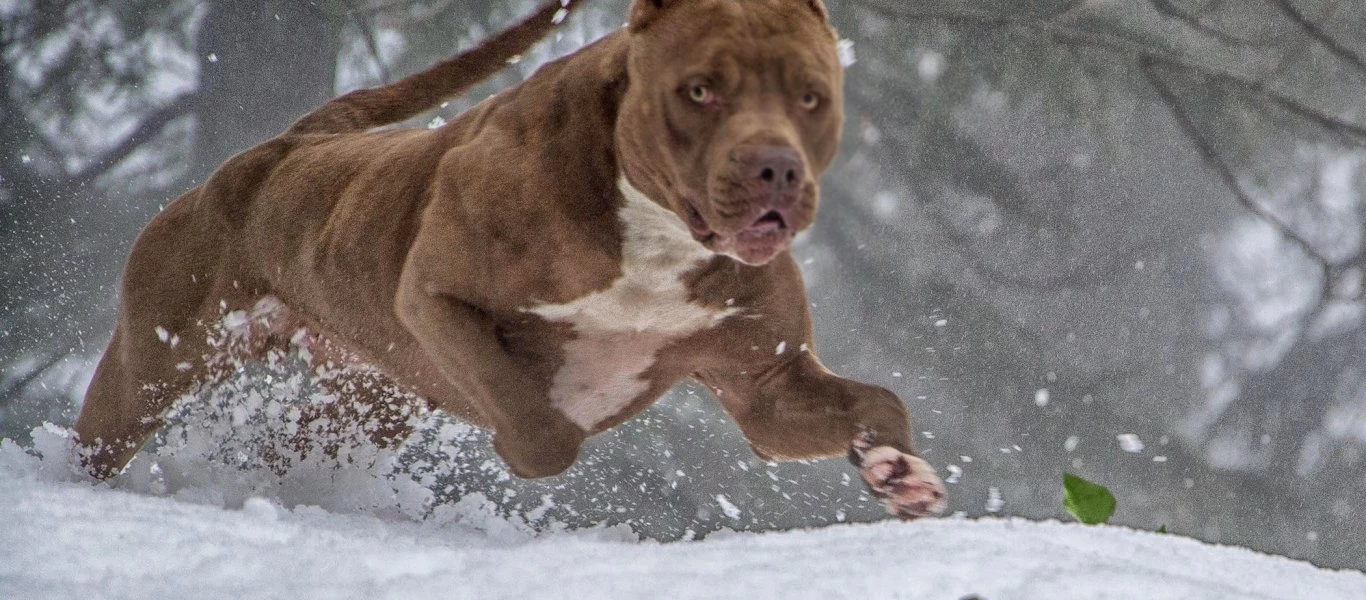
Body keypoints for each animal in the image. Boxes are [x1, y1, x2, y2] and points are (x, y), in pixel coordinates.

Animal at [74, 0, 945, 519]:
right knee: (108, 427)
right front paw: (531, 434)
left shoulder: (767, 382)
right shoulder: (436, 300)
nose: (776, 168)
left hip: (365, 400)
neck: (655, 227)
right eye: (699, 90)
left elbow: (876, 402)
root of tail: (292, 142)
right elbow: (540, 426)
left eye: (810, 96)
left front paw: (895, 470)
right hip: (156, 357)